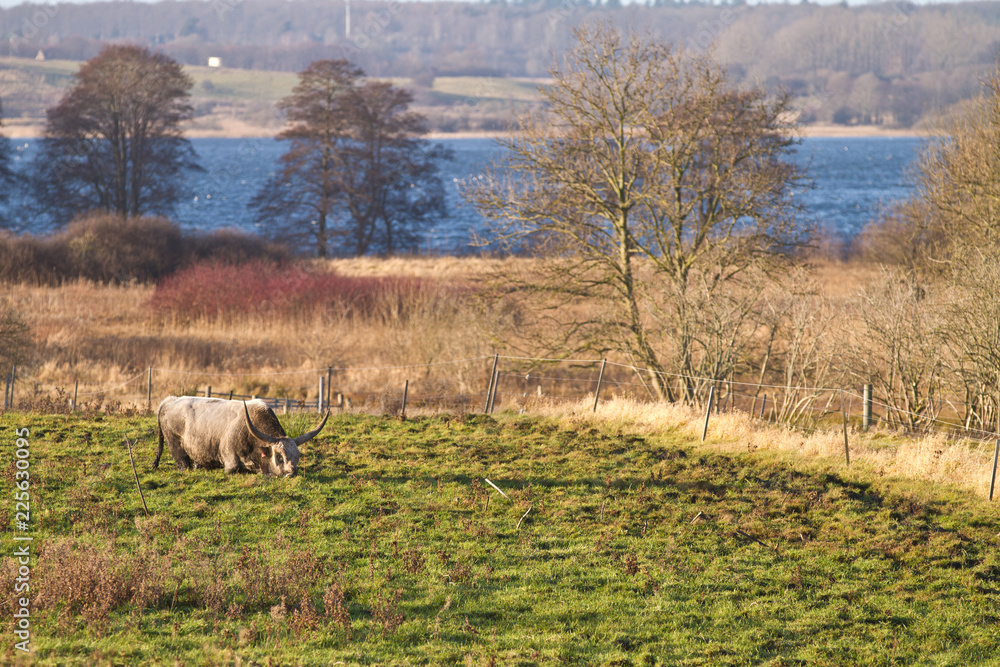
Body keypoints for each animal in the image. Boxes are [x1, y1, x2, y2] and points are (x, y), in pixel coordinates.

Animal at [154, 396, 328, 477]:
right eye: (279, 456)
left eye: (297, 456)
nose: (291, 473)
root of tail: (170, 400)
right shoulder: (230, 461)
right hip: (177, 448)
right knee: (183, 464)